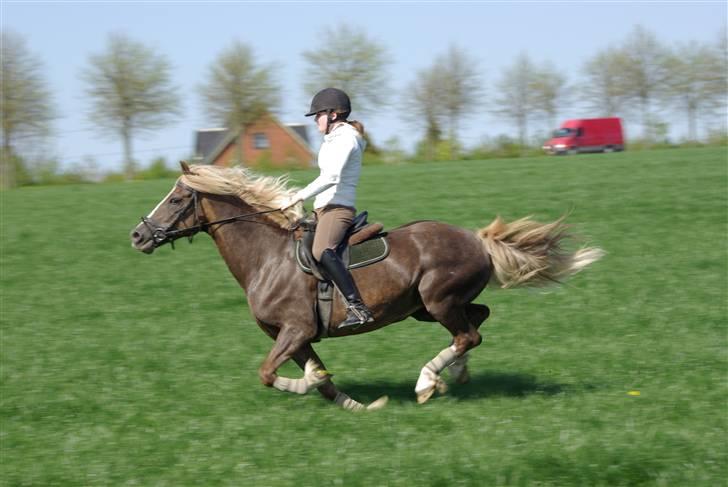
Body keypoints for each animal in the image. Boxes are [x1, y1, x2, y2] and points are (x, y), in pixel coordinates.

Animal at [129, 164, 604, 412]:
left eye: (176, 199)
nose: (137, 236)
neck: (266, 258)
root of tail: (476, 238)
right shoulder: (293, 337)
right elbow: (320, 380)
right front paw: (361, 406)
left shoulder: (295, 331)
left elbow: (269, 374)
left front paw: (312, 384)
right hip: (427, 307)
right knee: (476, 324)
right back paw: (455, 375)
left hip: (438, 300)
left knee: (468, 333)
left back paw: (427, 382)